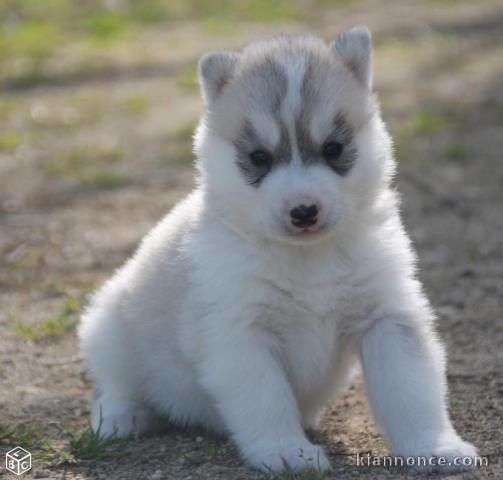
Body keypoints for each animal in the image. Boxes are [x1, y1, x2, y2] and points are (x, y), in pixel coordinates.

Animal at [78, 27, 476, 472]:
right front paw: (287, 451)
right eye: (258, 157)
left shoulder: (387, 317)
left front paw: (433, 447)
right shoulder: (241, 334)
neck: (308, 259)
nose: (303, 211)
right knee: (116, 386)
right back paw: (122, 417)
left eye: (333, 148)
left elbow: (411, 391)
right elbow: (267, 401)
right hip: (109, 326)